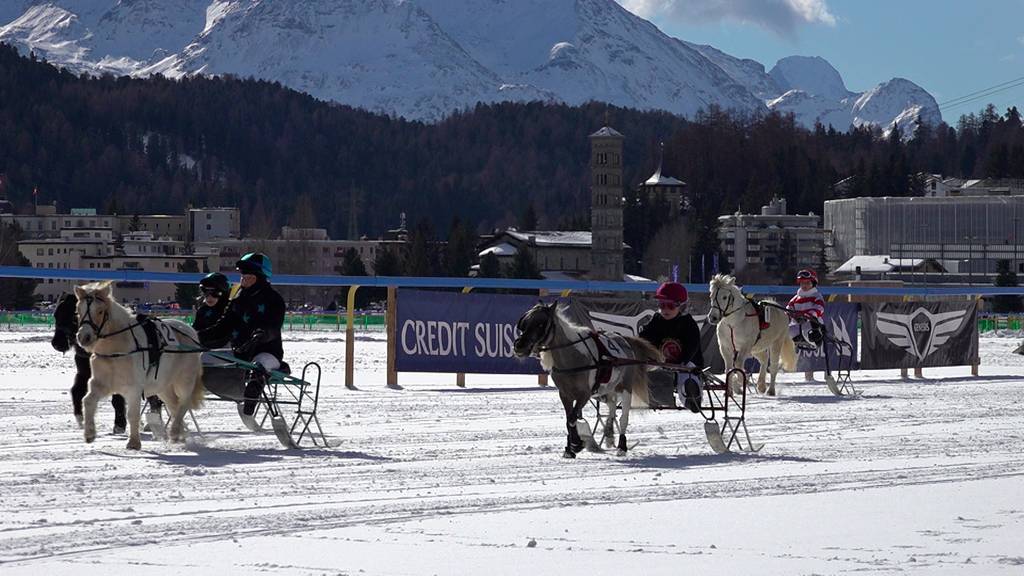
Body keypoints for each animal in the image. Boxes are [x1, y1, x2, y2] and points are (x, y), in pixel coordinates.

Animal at [51, 293, 125, 428]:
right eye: (56, 314)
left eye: (74, 316)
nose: (57, 343)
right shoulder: (84, 372)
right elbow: (76, 390)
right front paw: (80, 418)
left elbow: (117, 398)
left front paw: (119, 424)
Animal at [74, 280, 203, 446]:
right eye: (78, 310)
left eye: (100, 311)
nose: (84, 337)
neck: (116, 349)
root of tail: (190, 331)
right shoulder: (101, 384)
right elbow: (88, 401)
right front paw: (89, 433)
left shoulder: (134, 388)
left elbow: (132, 414)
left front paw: (134, 443)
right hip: (163, 386)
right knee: (174, 405)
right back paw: (180, 433)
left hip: (184, 380)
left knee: (183, 403)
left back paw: (175, 432)